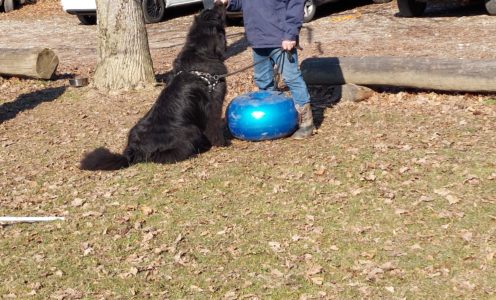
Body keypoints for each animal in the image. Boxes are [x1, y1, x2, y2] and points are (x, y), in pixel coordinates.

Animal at [81, 3, 229, 170]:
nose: (220, 3)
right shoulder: (215, 103)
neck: (200, 52)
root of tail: (132, 151)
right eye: (217, 13)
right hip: (191, 130)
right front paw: (222, 143)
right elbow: (215, 126)